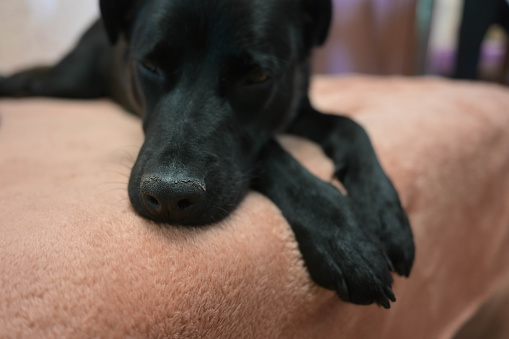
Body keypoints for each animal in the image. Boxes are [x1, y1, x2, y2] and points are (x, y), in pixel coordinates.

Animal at [0, 0, 412, 308]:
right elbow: (272, 150)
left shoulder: (296, 104)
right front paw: (342, 235)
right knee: (34, 78)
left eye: (257, 77)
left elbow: (351, 125)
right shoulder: (264, 141)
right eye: (150, 65)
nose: (168, 197)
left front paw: (384, 214)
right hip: (71, 81)